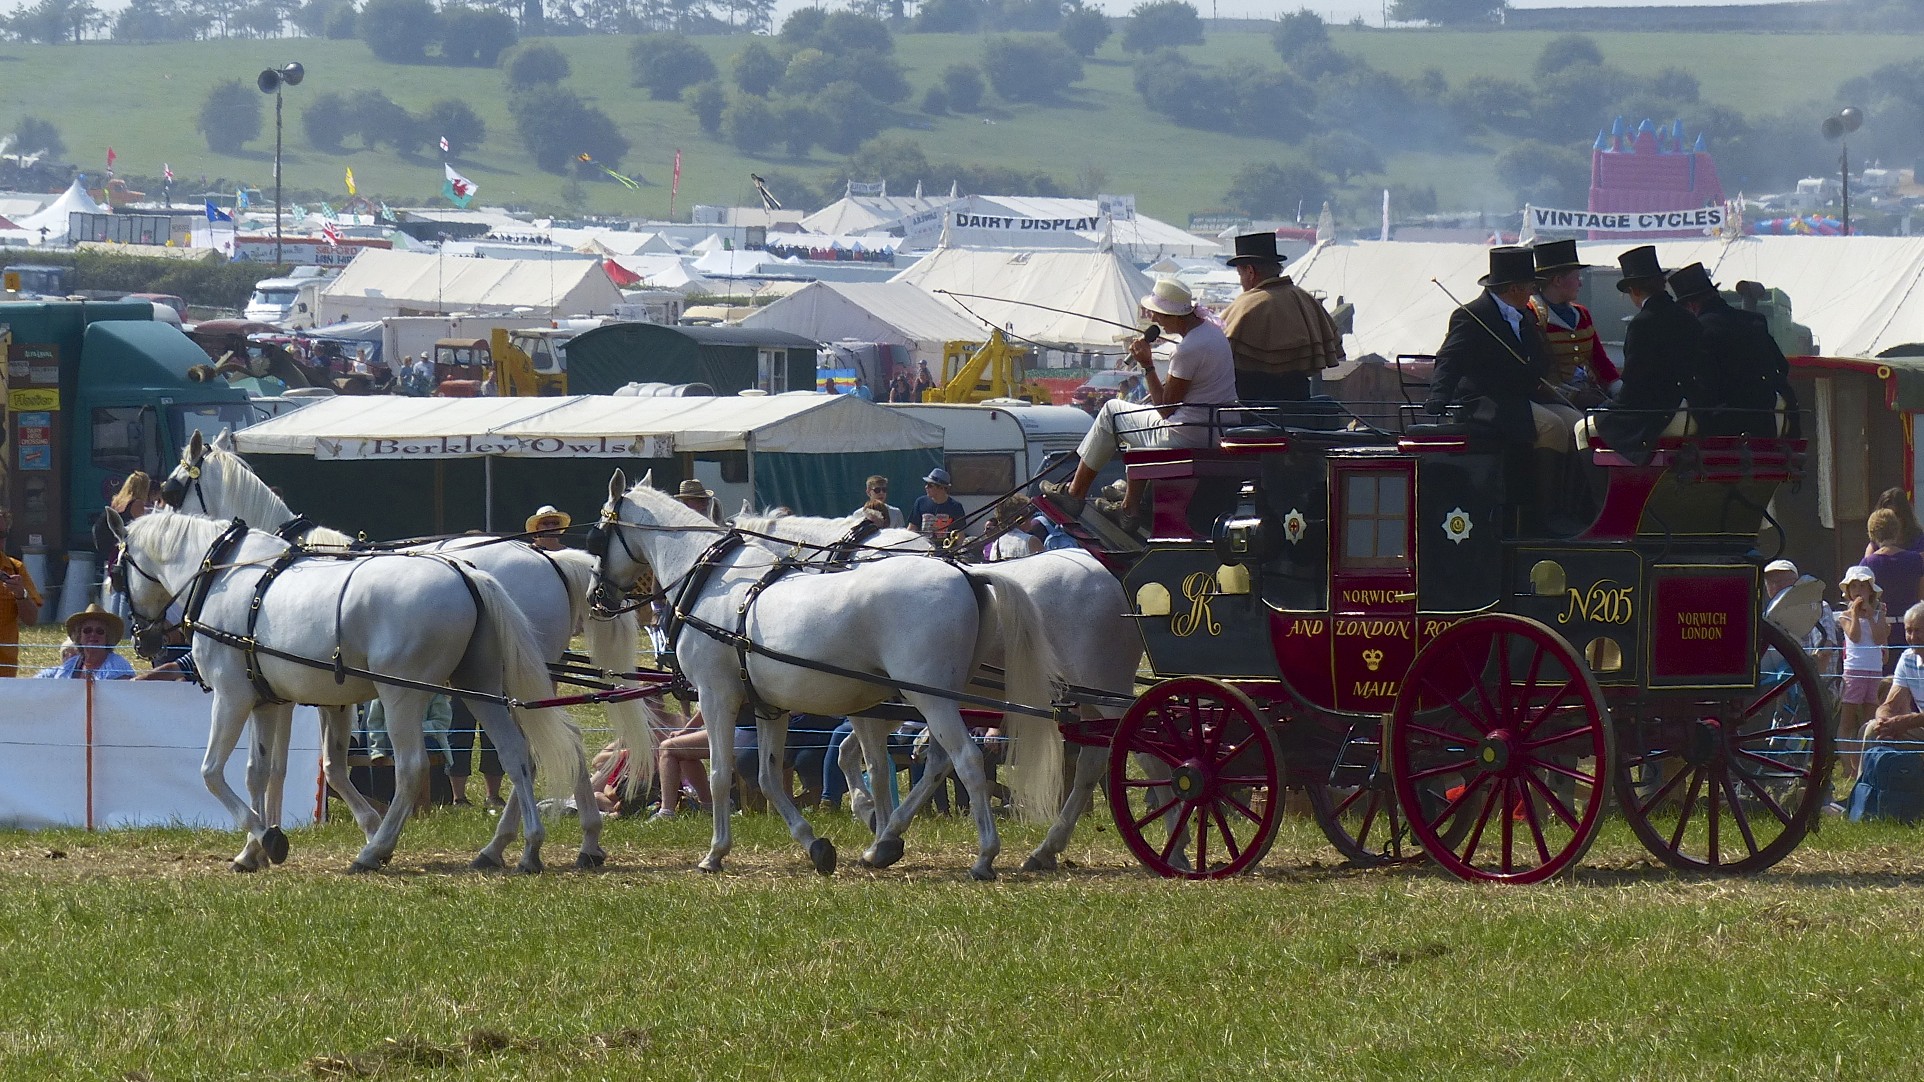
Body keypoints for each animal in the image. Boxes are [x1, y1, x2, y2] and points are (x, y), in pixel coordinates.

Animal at [108, 508, 577, 870]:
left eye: (116, 571)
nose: (142, 639)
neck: (227, 576)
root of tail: (464, 572)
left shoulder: (231, 697)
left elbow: (211, 772)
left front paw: (269, 838)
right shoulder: (272, 702)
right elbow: (265, 771)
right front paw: (251, 851)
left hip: (402, 695)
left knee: (412, 768)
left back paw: (375, 851)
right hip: (479, 686)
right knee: (517, 754)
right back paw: (523, 848)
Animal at [592, 471, 1062, 877]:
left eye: (596, 534)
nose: (597, 596)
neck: (711, 580)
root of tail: (967, 573)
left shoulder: (716, 695)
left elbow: (721, 774)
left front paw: (715, 853)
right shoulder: (770, 707)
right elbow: (768, 777)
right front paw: (816, 845)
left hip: (929, 697)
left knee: (966, 759)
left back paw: (983, 856)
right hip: (934, 698)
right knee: (940, 759)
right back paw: (886, 843)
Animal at [727, 504, 1131, 866]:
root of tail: (1113, 578)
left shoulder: (880, 702)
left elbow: (873, 764)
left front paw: (878, 826)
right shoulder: (892, 700)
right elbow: (850, 753)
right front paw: (875, 819)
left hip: (1104, 691)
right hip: (1088, 701)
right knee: (1094, 763)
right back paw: (1047, 849)